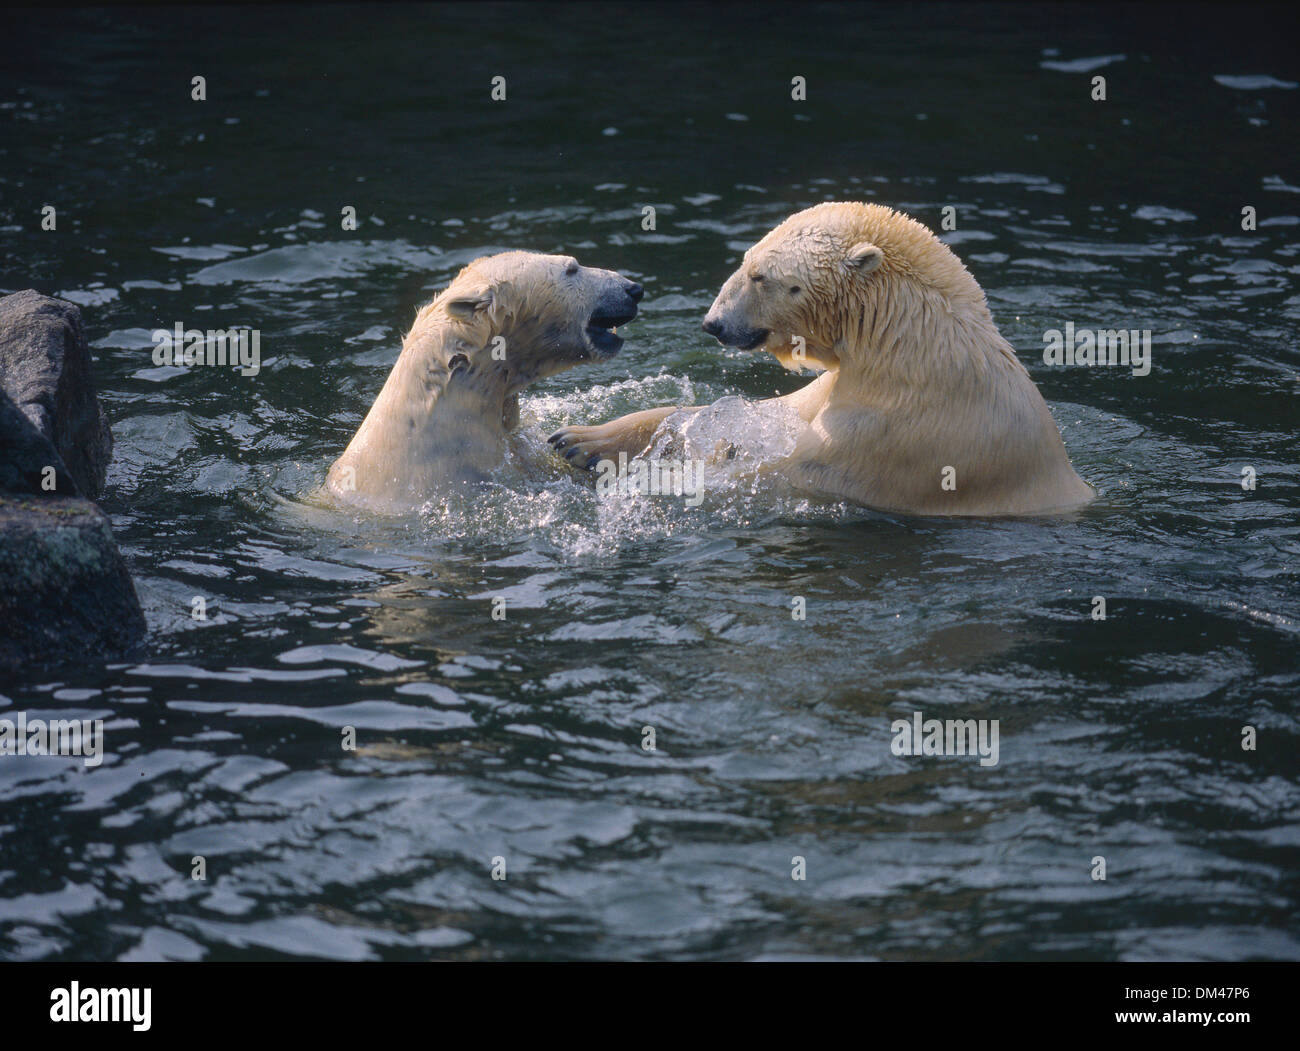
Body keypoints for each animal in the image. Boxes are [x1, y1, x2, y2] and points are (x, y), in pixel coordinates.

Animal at [551, 202, 1097, 515]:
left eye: (761, 276)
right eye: (747, 262)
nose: (714, 323)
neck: (905, 351)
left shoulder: (892, 436)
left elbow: (778, 474)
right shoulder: (836, 389)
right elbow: (762, 415)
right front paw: (582, 439)